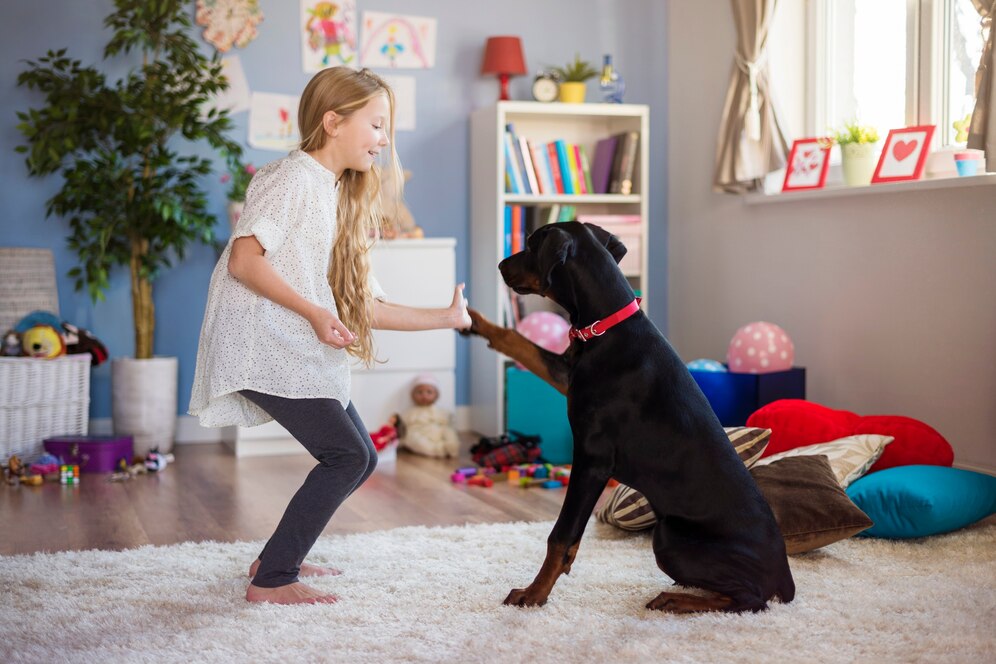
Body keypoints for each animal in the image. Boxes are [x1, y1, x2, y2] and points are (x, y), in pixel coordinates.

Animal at [466, 222, 792, 612]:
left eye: (531, 245)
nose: (501, 265)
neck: (605, 326)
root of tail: (785, 573)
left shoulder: (592, 459)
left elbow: (561, 536)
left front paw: (534, 594)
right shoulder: (566, 375)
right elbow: (518, 341)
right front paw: (474, 321)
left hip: (669, 537)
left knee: (750, 599)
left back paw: (675, 600)